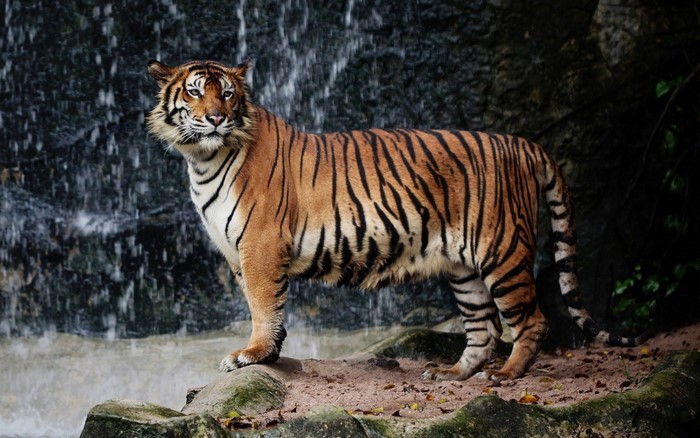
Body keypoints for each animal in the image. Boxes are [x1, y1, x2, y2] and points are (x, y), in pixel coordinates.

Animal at [146, 59, 647, 382]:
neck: (203, 159)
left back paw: (506, 375)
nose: (216, 118)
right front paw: (269, 354)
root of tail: (523, 143)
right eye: (195, 90)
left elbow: (263, 306)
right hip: (464, 269)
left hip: (502, 252)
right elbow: (264, 305)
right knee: (483, 328)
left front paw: (253, 355)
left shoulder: (261, 245)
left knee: (531, 321)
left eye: (228, 93)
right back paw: (452, 373)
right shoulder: (237, 253)